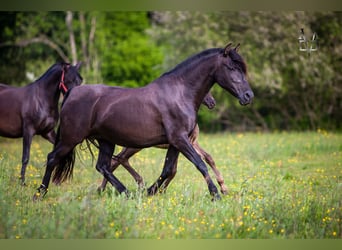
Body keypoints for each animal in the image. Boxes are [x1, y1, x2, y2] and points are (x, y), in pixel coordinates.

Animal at [97, 92, 228, 195]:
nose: (212, 103)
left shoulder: (192, 143)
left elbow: (208, 158)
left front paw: (224, 188)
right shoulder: (184, 143)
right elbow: (174, 170)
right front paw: (160, 190)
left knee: (117, 160)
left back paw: (104, 189)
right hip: (134, 146)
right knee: (119, 159)